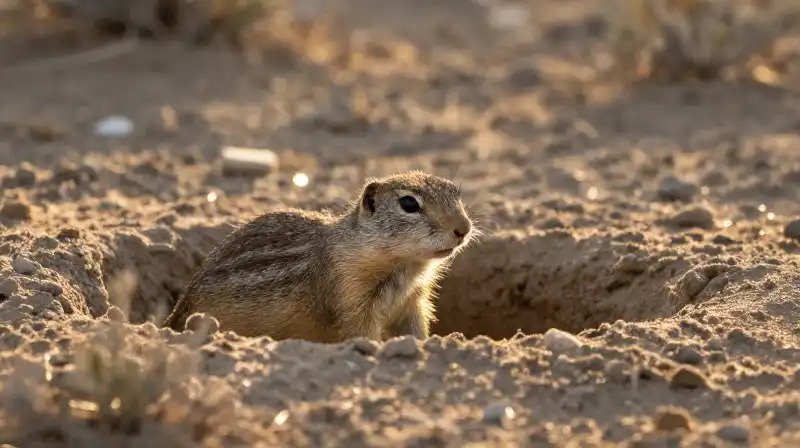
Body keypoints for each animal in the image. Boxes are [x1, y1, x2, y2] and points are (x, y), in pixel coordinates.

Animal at [162, 171, 475, 342]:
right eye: (409, 203)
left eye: (455, 192)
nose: (464, 228)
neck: (405, 267)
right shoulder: (350, 295)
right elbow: (360, 332)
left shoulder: (412, 303)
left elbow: (415, 330)